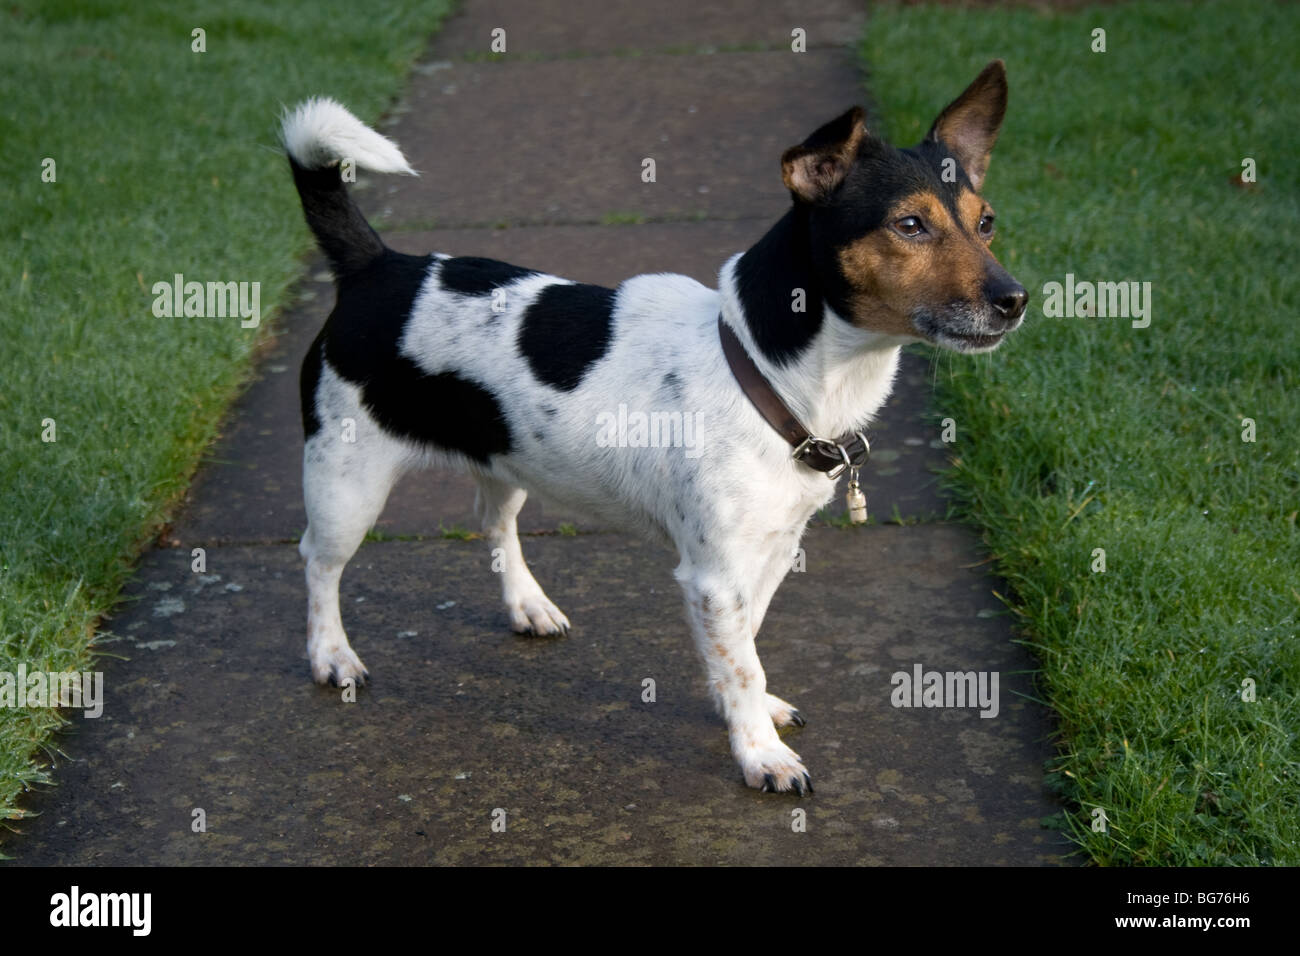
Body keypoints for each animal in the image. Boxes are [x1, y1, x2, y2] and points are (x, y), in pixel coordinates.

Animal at [282, 57, 1024, 790]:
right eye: (910, 226)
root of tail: (375, 265)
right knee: (319, 563)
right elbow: (742, 659)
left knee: (495, 523)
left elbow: (744, 646)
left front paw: (747, 713)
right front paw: (760, 754)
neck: (767, 369)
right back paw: (331, 655)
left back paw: (527, 604)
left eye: (986, 222)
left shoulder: (769, 552)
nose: (1015, 299)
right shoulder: (714, 574)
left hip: (505, 454)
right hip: (347, 484)